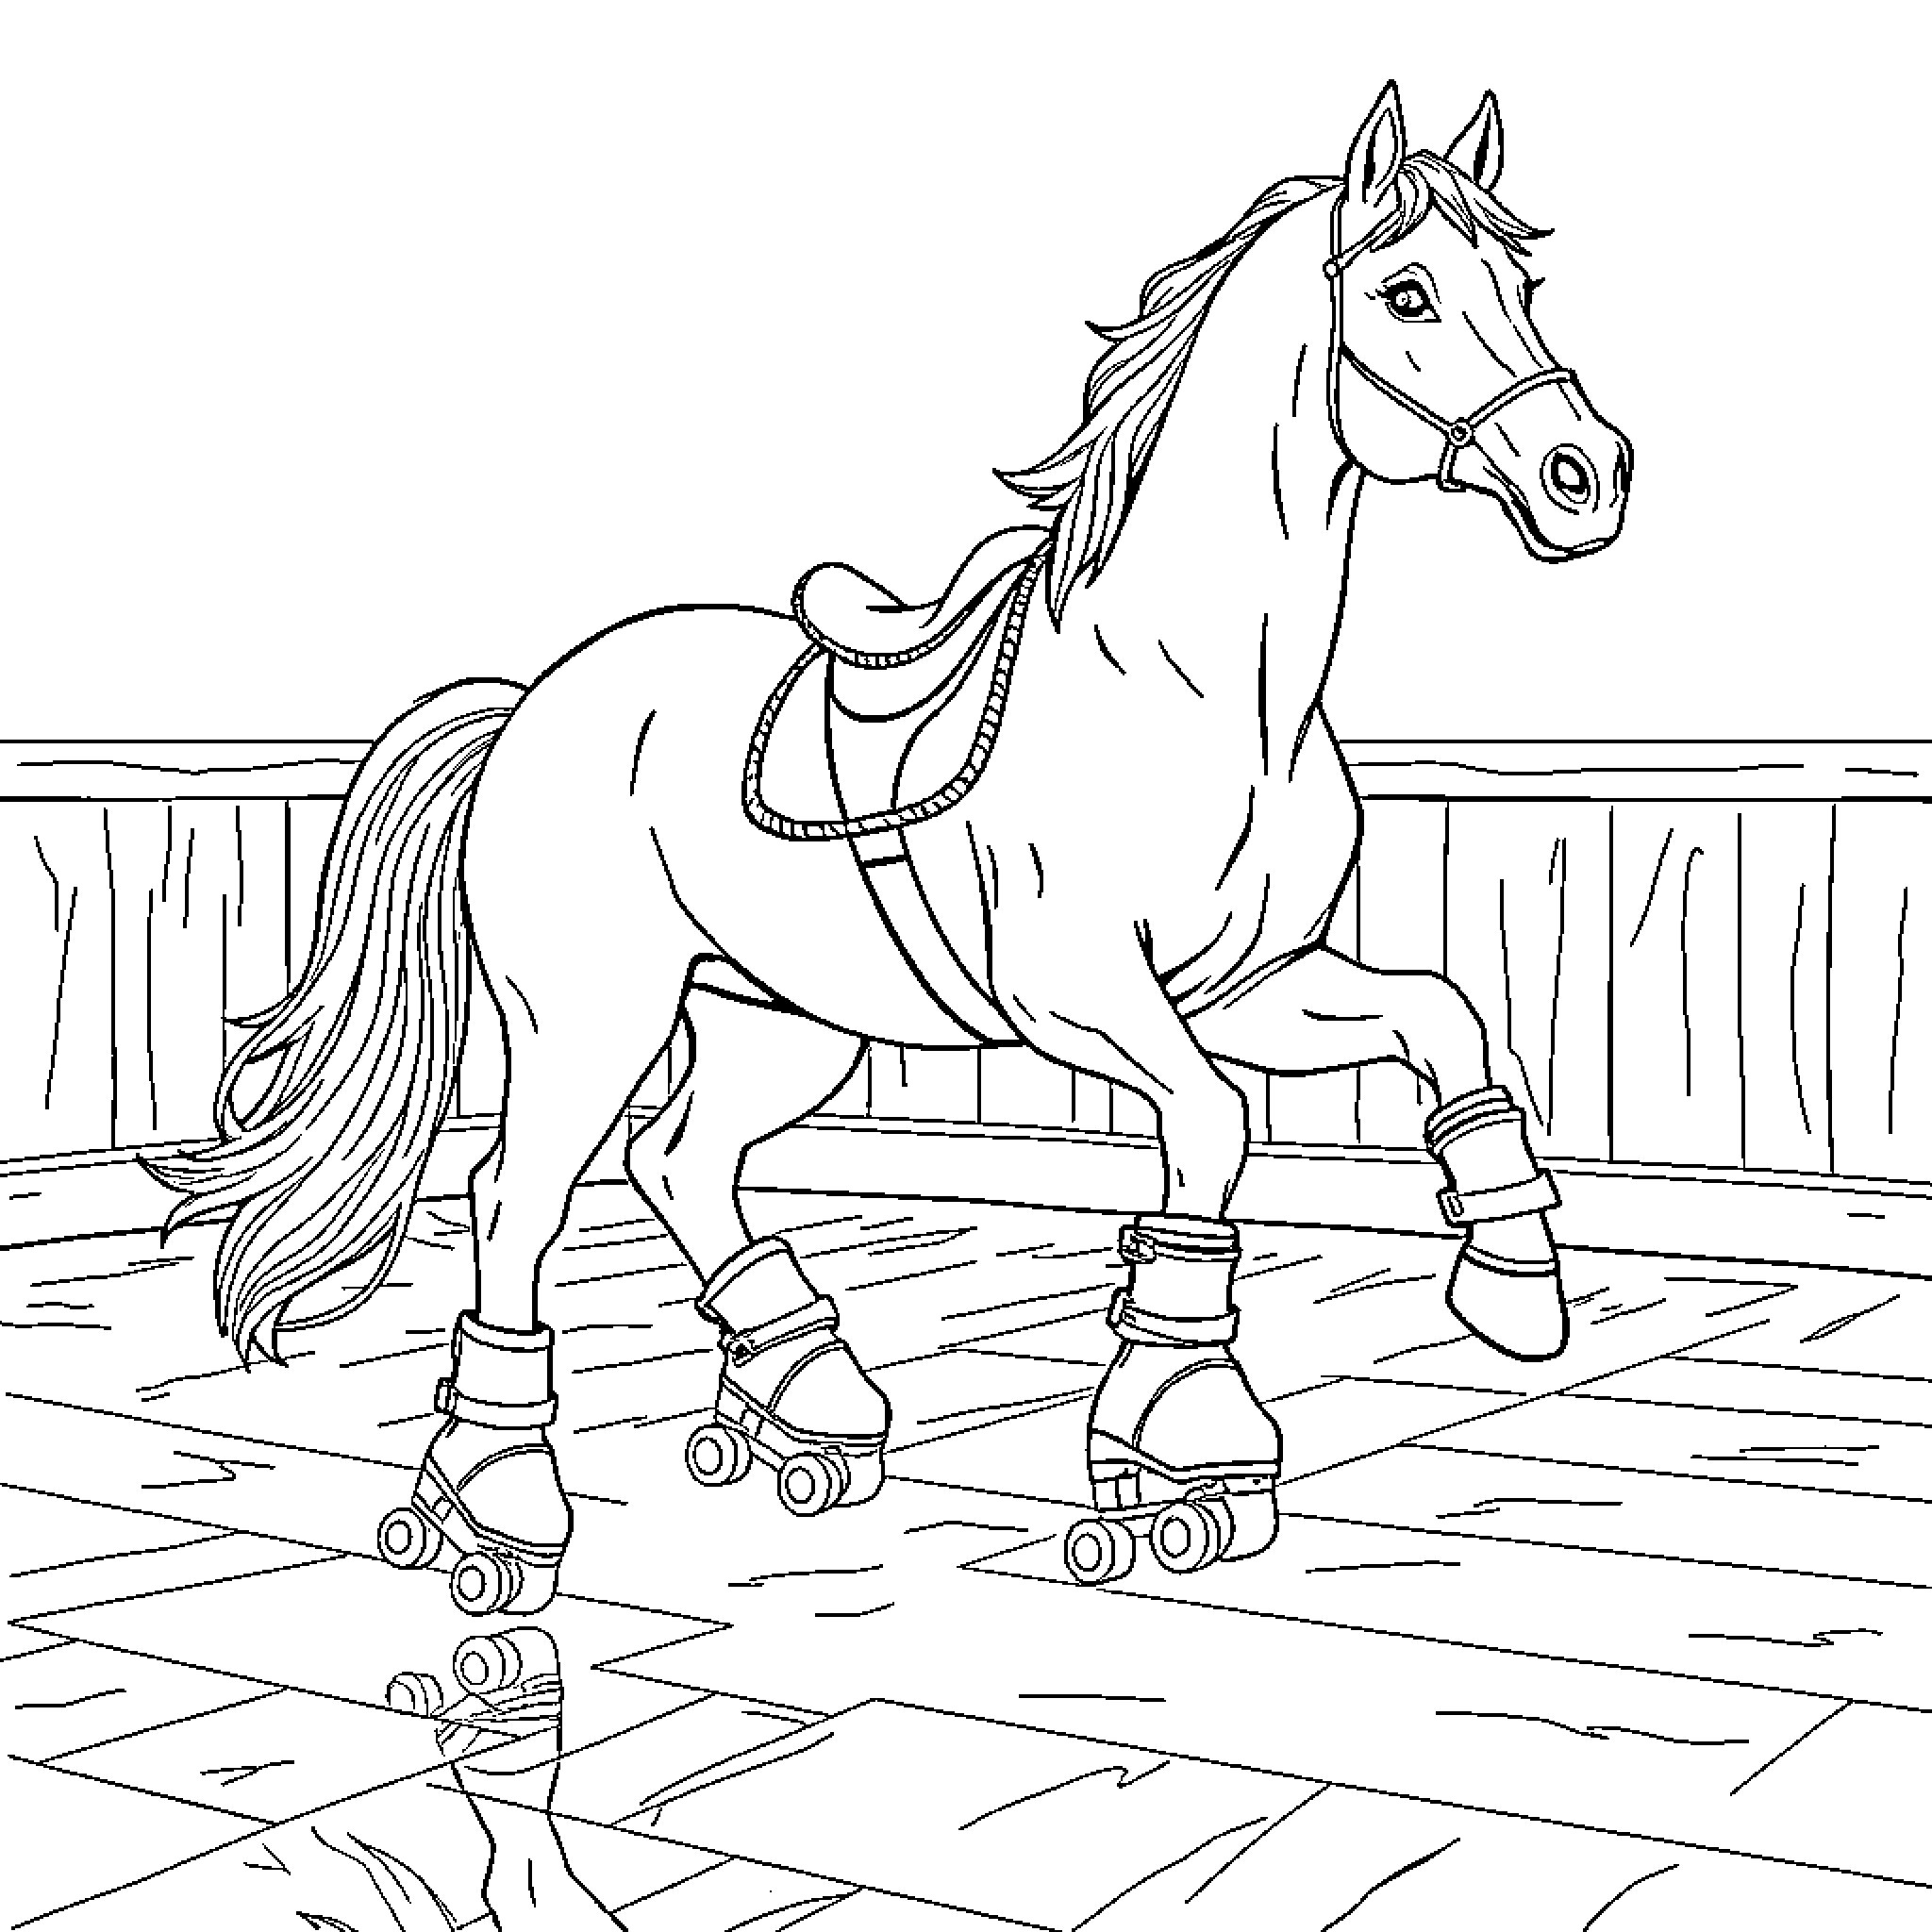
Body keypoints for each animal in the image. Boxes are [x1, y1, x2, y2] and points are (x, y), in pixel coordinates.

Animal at [148, 80, 1631, 1611]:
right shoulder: (1080, 996)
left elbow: (1443, 1018)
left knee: (680, 1159)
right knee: (520, 1198)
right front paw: (1174, 1444)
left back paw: (801, 1414)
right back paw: (492, 1506)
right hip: (590, 1021)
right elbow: (1212, 1123)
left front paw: (1512, 1287)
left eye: (1522, 285)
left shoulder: (1246, 987)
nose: (1586, 477)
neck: (1199, 688)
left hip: (774, 1019)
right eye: (1406, 294)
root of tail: (531, 709)